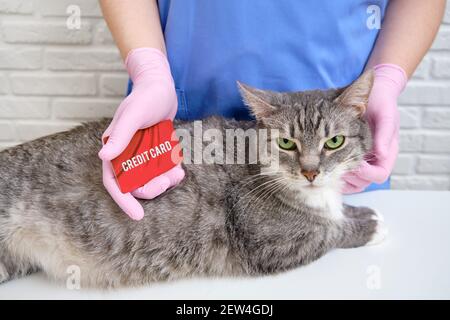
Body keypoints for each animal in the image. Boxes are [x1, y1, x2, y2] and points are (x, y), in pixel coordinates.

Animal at [0, 69, 386, 288]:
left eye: (333, 141)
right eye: (286, 143)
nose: (310, 171)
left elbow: (334, 215)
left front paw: (354, 210)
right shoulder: (268, 244)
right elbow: (327, 231)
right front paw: (367, 225)